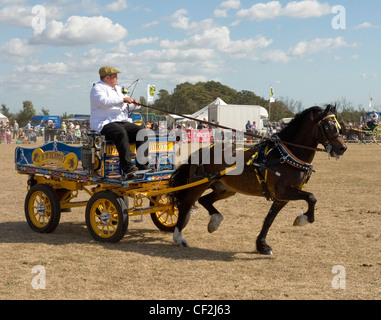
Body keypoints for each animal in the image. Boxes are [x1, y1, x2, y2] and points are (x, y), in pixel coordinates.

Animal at [169, 105, 348, 255]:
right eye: (328, 126)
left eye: (340, 127)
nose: (342, 148)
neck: (285, 156)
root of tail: (203, 150)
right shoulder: (283, 191)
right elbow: (311, 197)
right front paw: (302, 219)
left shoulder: (281, 198)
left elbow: (269, 220)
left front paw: (262, 246)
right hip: (199, 184)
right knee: (185, 204)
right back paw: (179, 237)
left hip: (224, 188)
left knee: (204, 200)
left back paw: (215, 221)